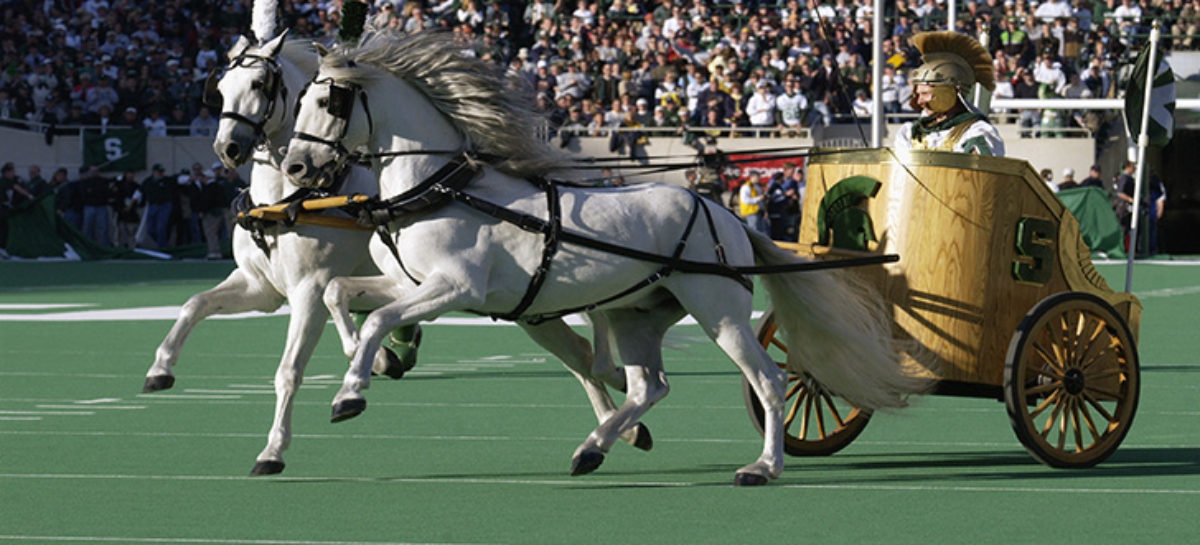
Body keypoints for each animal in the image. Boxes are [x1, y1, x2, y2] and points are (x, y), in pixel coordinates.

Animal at [278, 33, 926, 484]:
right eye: (298, 98)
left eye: (330, 100)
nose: (295, 167)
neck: (439, 189)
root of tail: (727, 216)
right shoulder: (408, 284)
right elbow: (341, 295)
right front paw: (365, 364)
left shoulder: (453, 289)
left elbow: (381, 319)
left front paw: (350, 393)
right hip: (635, 315)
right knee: (649, 386)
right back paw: (593, 447)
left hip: (718, 310)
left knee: (766, 380)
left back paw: (763, 466)